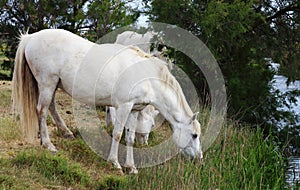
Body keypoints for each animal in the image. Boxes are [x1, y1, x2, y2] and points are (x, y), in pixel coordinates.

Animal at [12, 28, 203, 174]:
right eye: (194, 135)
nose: (199, 159)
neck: (145, 75)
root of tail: (31, 37)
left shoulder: (134, 110)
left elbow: (130, 137)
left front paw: (131, 167)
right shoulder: (123, 107)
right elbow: (117, 134)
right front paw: (115, 163)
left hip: (52, 85)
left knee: (51, 107)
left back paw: (65, 132)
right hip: (47, 83)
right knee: (42, 111)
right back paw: (48, 144)